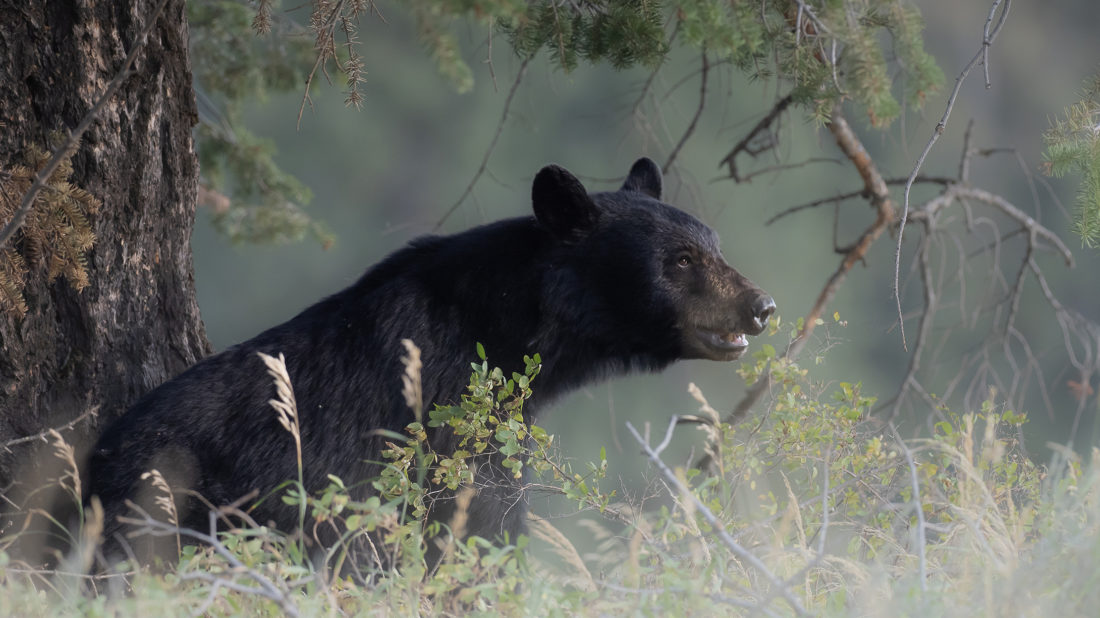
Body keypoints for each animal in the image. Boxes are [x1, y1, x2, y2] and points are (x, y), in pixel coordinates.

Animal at [85, 159, 774, 567]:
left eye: (714, 246)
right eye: (680, 259)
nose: (760, 305)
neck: (502, 326)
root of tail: (95, 461)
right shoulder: (446, 415)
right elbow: (478, 520)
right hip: (164, 503)